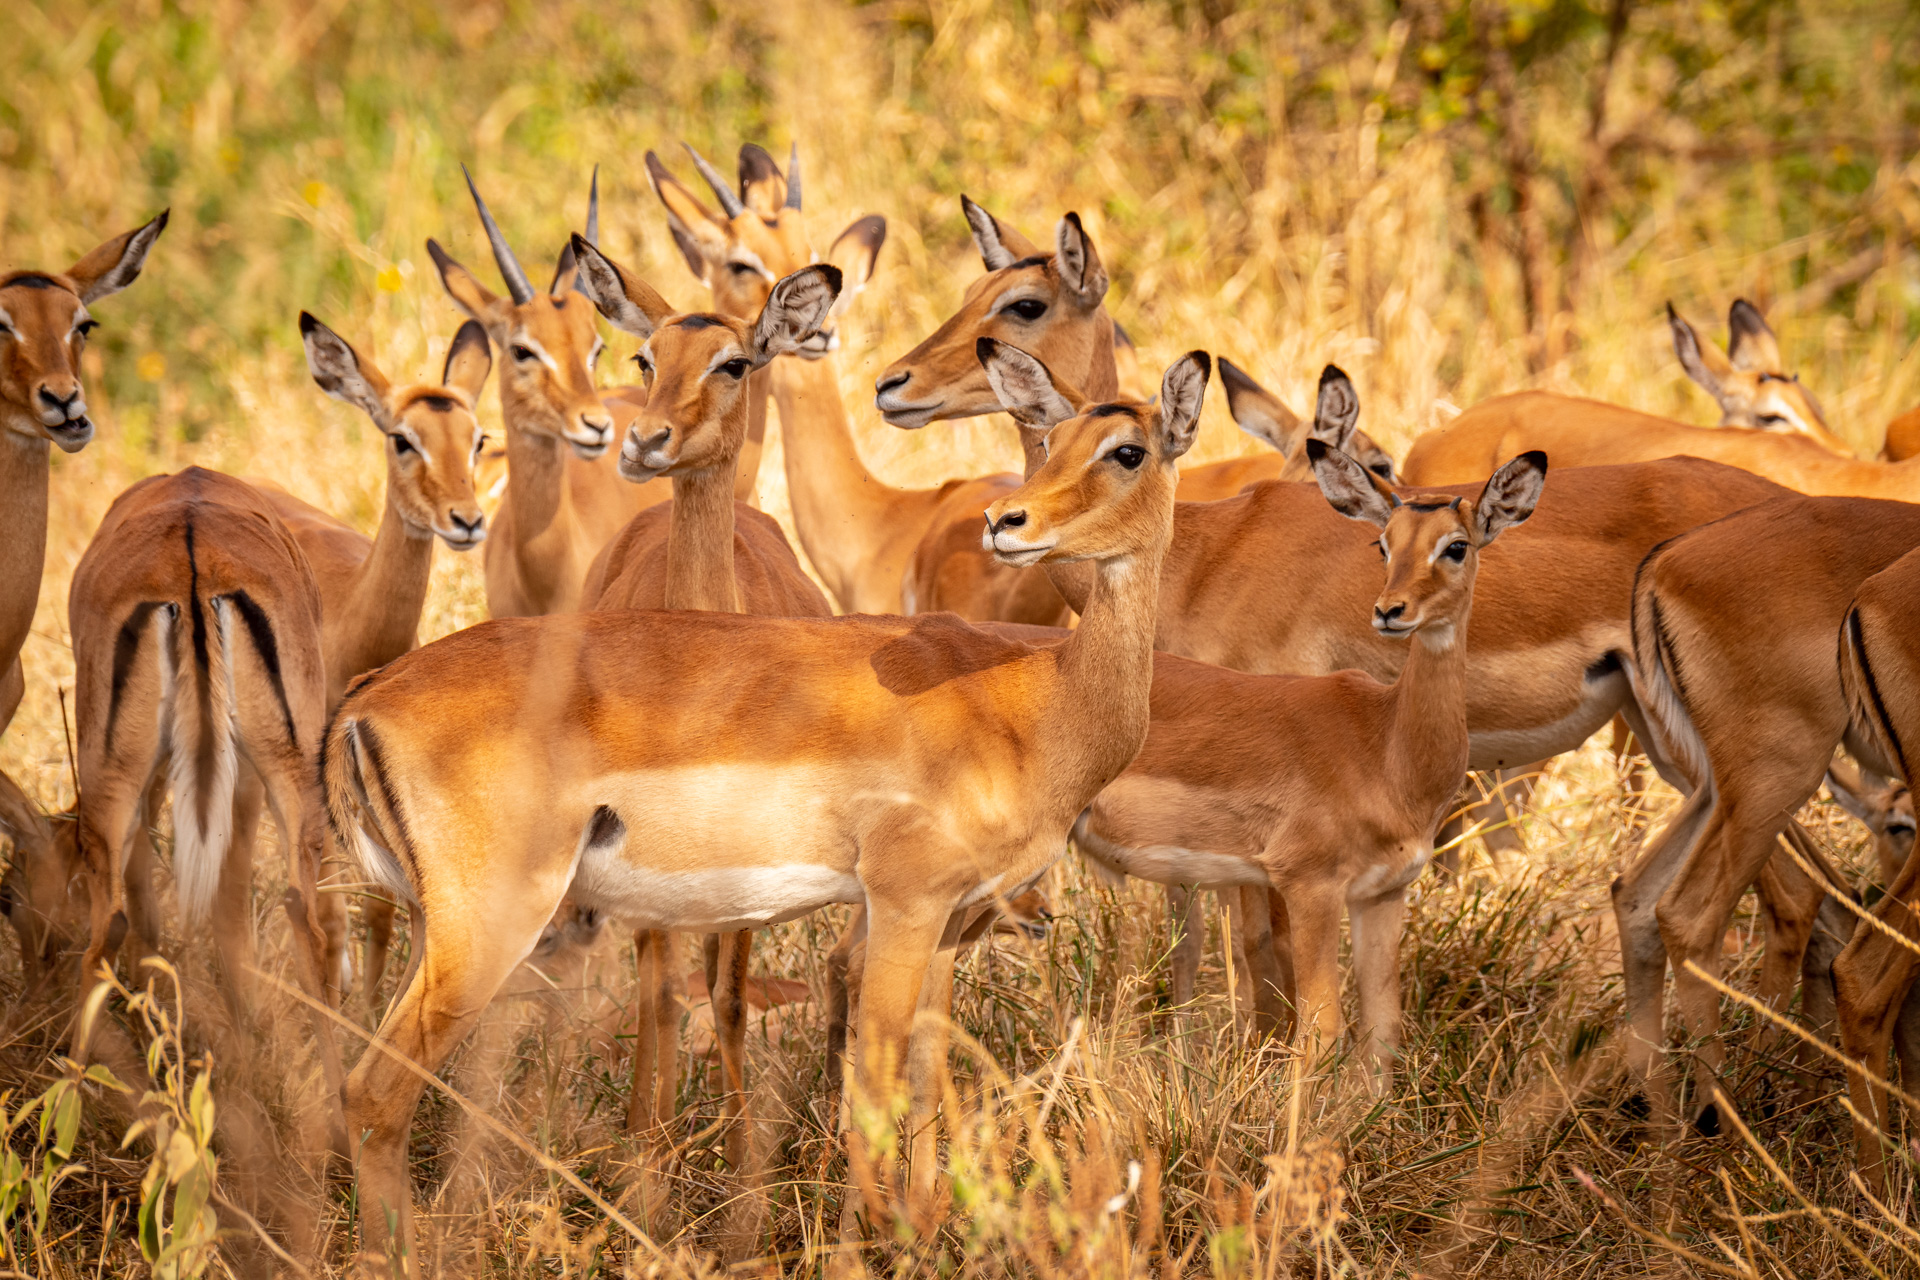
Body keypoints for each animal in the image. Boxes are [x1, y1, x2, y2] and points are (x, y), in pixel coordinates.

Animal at [322, 347, 1205, 1258]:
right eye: (1052, 439)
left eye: (1126, 449)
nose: (1009, 521)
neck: (1033, 703)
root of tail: (365, 699)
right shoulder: (905, 904)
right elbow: (875, 1086)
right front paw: (861, 1248)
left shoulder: (951, 924)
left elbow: (924, 1075)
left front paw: (923, 1230)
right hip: (490, 926)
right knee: (373, 1093)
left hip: (434, 929)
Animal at [568, 230, 840, 1159]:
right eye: (645, 354)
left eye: (733, 361)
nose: (645, 440)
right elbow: (658, 993)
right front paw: (643, 1148)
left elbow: (725, 993)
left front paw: (736, 1147)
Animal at [1612, 491, 1920, 1143]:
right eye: (1893, 830)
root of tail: (1665, 559)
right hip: (1775, 780)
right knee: (1694, 919)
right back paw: (1726, 1131)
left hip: (1713, 785)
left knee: (1635, 898)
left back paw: (1667, 1144)